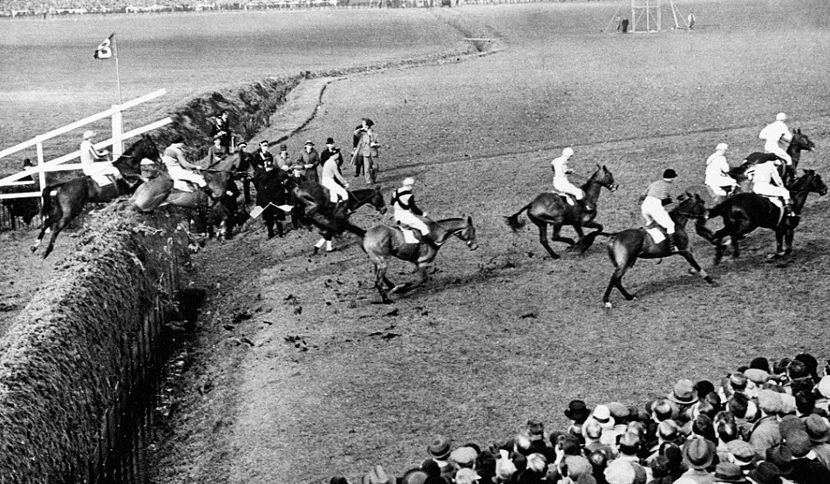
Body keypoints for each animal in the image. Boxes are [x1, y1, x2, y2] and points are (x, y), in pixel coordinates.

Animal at [31, 134, 161, 260]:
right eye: (152, 146)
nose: (160, 160)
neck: (127, 165)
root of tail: (63, 185)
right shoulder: (132, 185)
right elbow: (143, 182)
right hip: (71, 212)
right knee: (57, 228)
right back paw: (46, 252)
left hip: (61, 211)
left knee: (46, 222)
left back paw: (35, 246)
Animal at [700, 169, 828, 264]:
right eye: (818, 179)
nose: (825, 189)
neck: (794, 200)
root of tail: (731, 201)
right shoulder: (788, 228)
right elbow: (787, 249)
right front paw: (774, 256)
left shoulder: (779, 229)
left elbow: (780, 246)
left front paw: (776, 255)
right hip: (747, 225)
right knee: (731, 235)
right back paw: (724, 252)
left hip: (732, 224)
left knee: (721, 234)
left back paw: (721, 255)